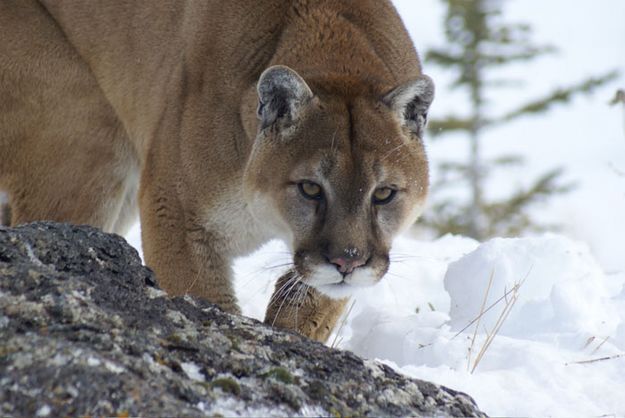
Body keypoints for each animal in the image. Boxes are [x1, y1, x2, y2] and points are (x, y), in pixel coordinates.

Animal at [0, 0, 432, 342]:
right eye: (310, 188)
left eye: (383, 193)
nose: (347, 262)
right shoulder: (177, 215)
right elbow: (207, 302)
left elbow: (313, 305)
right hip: (87, 144)